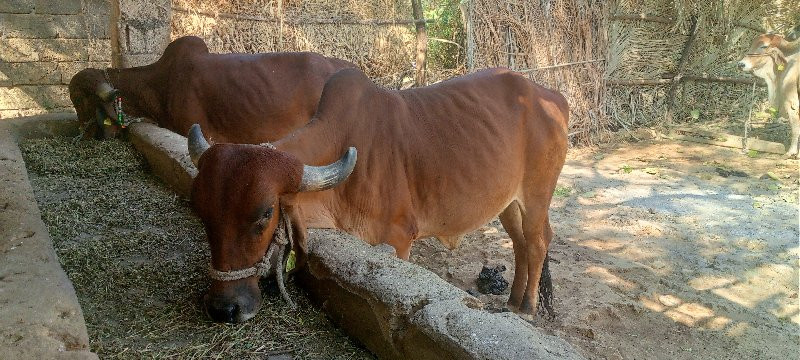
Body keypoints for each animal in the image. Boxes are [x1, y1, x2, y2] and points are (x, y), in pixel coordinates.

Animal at [188, 68, 568, 324]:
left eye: (266, 213)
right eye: (200, 211)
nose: (225, 308)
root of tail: (551, 96)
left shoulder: (398, 239)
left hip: (536, 196)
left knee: (537, 242)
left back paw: (527, 308)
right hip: (508, 203)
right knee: (520, 243)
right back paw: (512, 303)